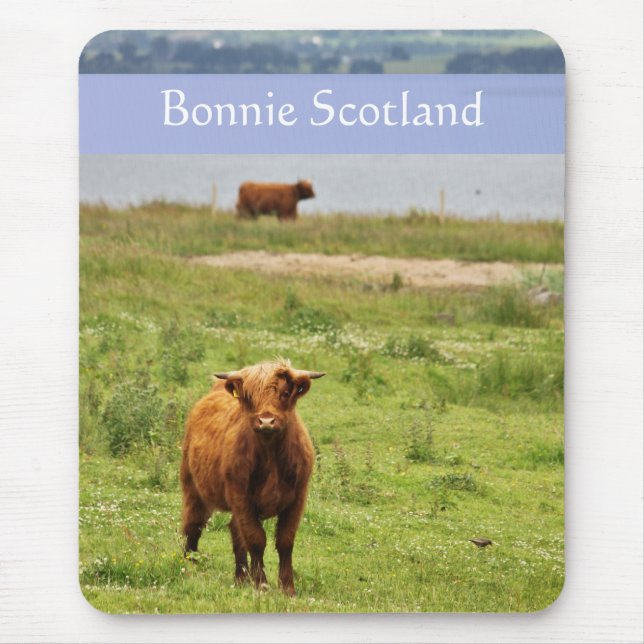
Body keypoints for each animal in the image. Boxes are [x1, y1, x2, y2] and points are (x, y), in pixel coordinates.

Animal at [180, 359, 325, 596]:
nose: (266, 421)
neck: (271, 455)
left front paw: (287, 588)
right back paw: (189, 566)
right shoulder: (241, 496)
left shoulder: (298, 497)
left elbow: (285, 540)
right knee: (192, 525)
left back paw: (240, 578)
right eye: (249, 396)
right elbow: (255, 538)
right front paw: (261, 585)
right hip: (193, 487)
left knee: (233, 530)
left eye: (285, 393)